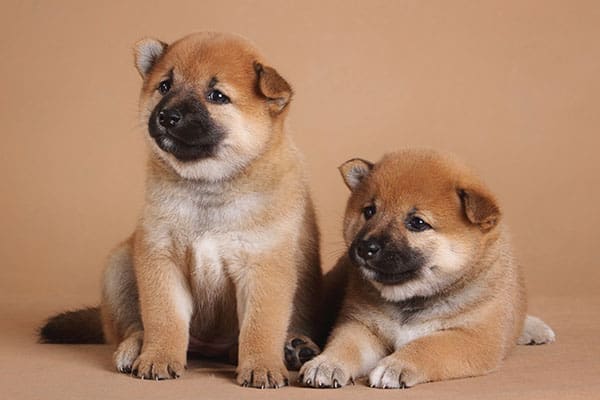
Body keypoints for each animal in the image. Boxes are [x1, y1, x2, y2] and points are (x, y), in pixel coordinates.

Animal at [40, 32, 324, 390]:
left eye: (217, 96)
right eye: (164, 86)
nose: (167, 116)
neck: (207, 187)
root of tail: (210, 349)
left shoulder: (263, 266)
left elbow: (261, 326)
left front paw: (261, 365)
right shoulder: (160, 258)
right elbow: (164, 318)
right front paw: (159, 357)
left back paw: (292, 346)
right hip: (120, 267)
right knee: (132, 326)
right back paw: (134, 349)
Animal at [302, 150, 556, 388]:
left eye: (417, 223)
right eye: (369, 211)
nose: (365, 247)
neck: (411, 300)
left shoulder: (474, 337)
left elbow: (427, 345)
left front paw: (396, 365)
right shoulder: (361, 325)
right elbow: (344, 345)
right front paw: (327, 363)